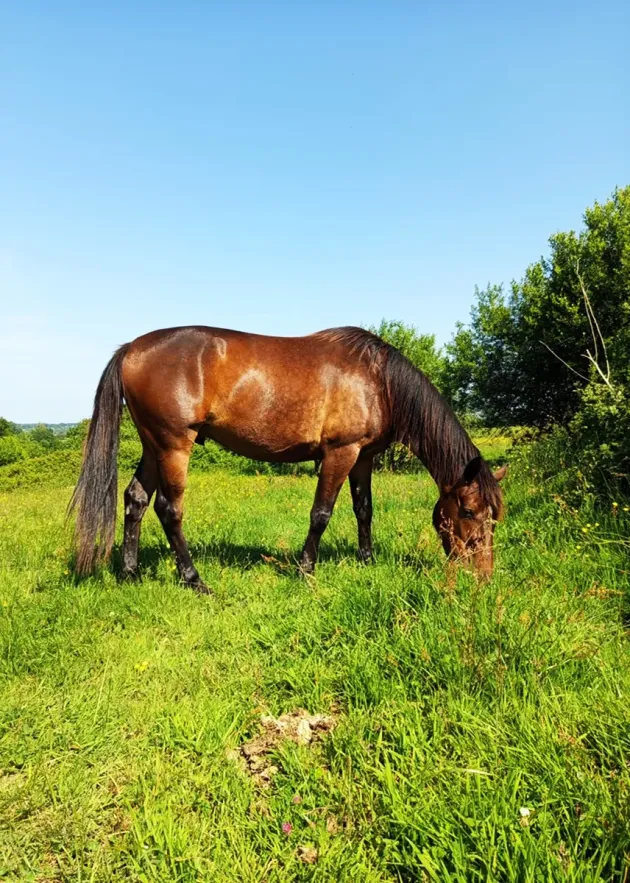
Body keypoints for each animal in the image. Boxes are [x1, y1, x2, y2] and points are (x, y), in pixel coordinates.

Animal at [70, 326, 506, 592]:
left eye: (494, 515)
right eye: (468, 511)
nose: (484, 577)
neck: (378, 380)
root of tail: (131, 349)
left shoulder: (363, 457)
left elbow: (364, 509)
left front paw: (366, 561)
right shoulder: (340, 453)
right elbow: (321, 514)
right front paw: (306, 569)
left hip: (152, 446)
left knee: (136, 500)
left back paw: (130, 573)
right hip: (174, 445)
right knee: (168, 509)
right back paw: (194, 579)